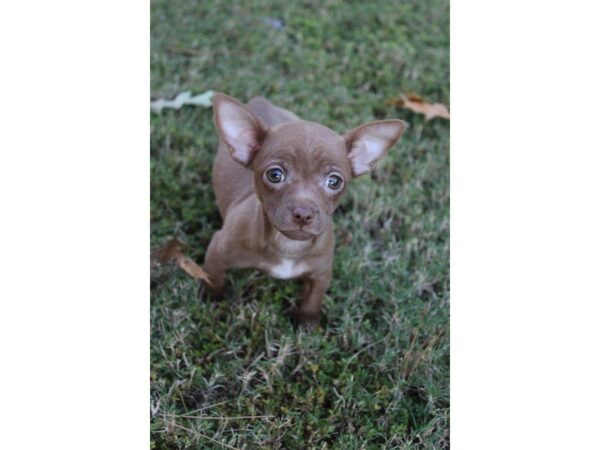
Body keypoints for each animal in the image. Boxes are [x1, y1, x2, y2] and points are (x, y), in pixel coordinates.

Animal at [204, 93, 406, 324]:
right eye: (275, 175)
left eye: (334, 182)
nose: (303, 214)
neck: (288, 245)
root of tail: (261, 101)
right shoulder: (217, 252)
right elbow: (213, 281)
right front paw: (211, 302)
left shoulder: (320, 274)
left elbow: (312, 302)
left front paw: (307, 325)